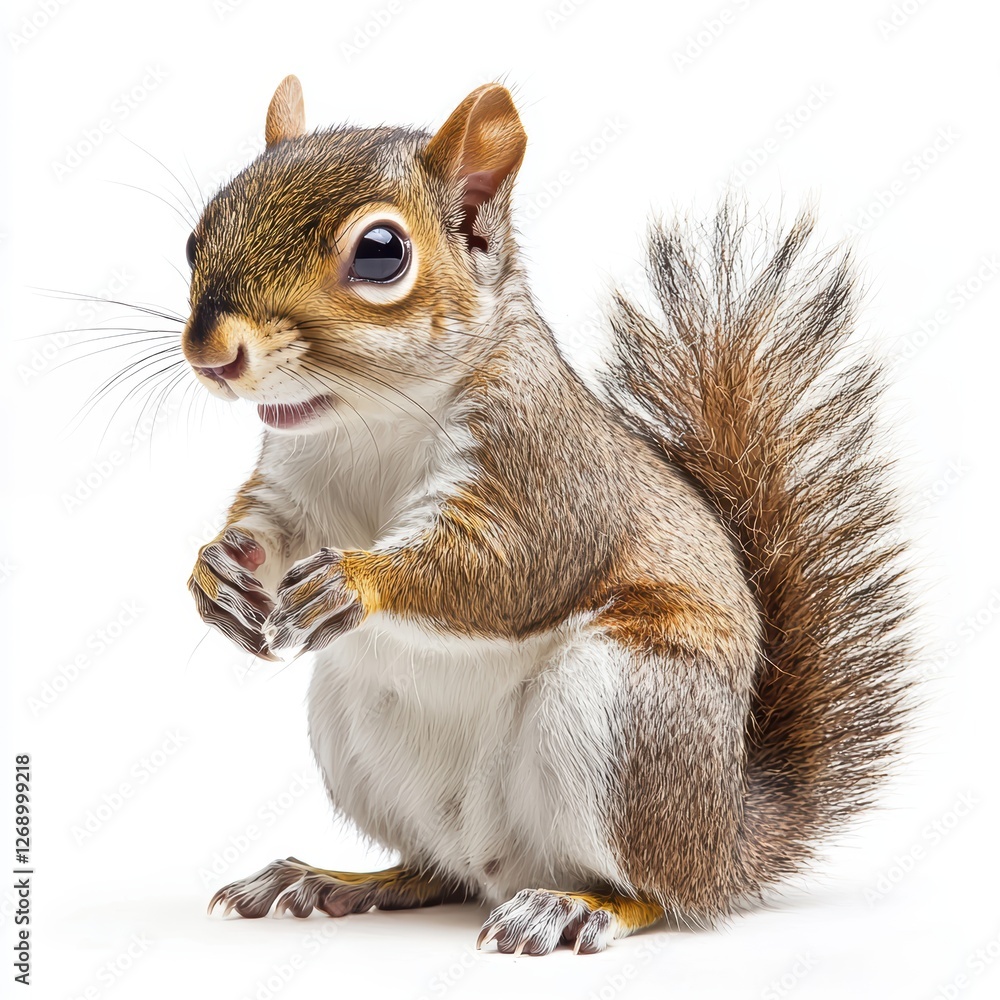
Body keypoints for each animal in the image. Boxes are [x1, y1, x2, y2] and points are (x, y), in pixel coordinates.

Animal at [183, 76, 912, 955]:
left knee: (654, 892)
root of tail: (724, 843)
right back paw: (337, 880)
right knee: (438, 871)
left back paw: (576, 908)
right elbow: (268, 531)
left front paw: (358, 581)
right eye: (196, 235)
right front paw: (213, 576)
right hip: (355, 725)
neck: (368, 422)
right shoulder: (292, 482)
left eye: (381, 252)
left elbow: (514, 567)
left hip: (627, 712)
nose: (210, 352)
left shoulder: (547, 472)